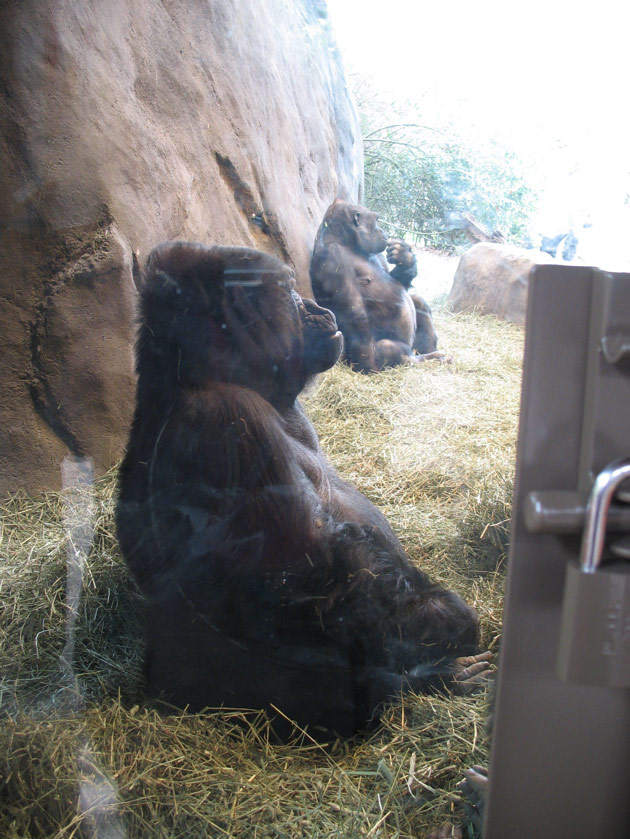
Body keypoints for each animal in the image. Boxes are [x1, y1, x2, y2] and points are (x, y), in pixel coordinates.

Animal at [116, 240, 488, 740]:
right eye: (289, 294)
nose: (317, 308)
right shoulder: (227, 419)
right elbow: (305, 572)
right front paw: (447, 621)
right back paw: (432, 679)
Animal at [310, 199, 440, 372]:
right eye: (377, 220)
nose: (383, 230)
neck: (346, 242)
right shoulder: (332, 258)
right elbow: (356, 313)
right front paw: (368, 363)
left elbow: (400, 281)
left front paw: (404, 256)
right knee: (395, 349)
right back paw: (427, 358)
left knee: (417, 300)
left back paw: (430, 350)